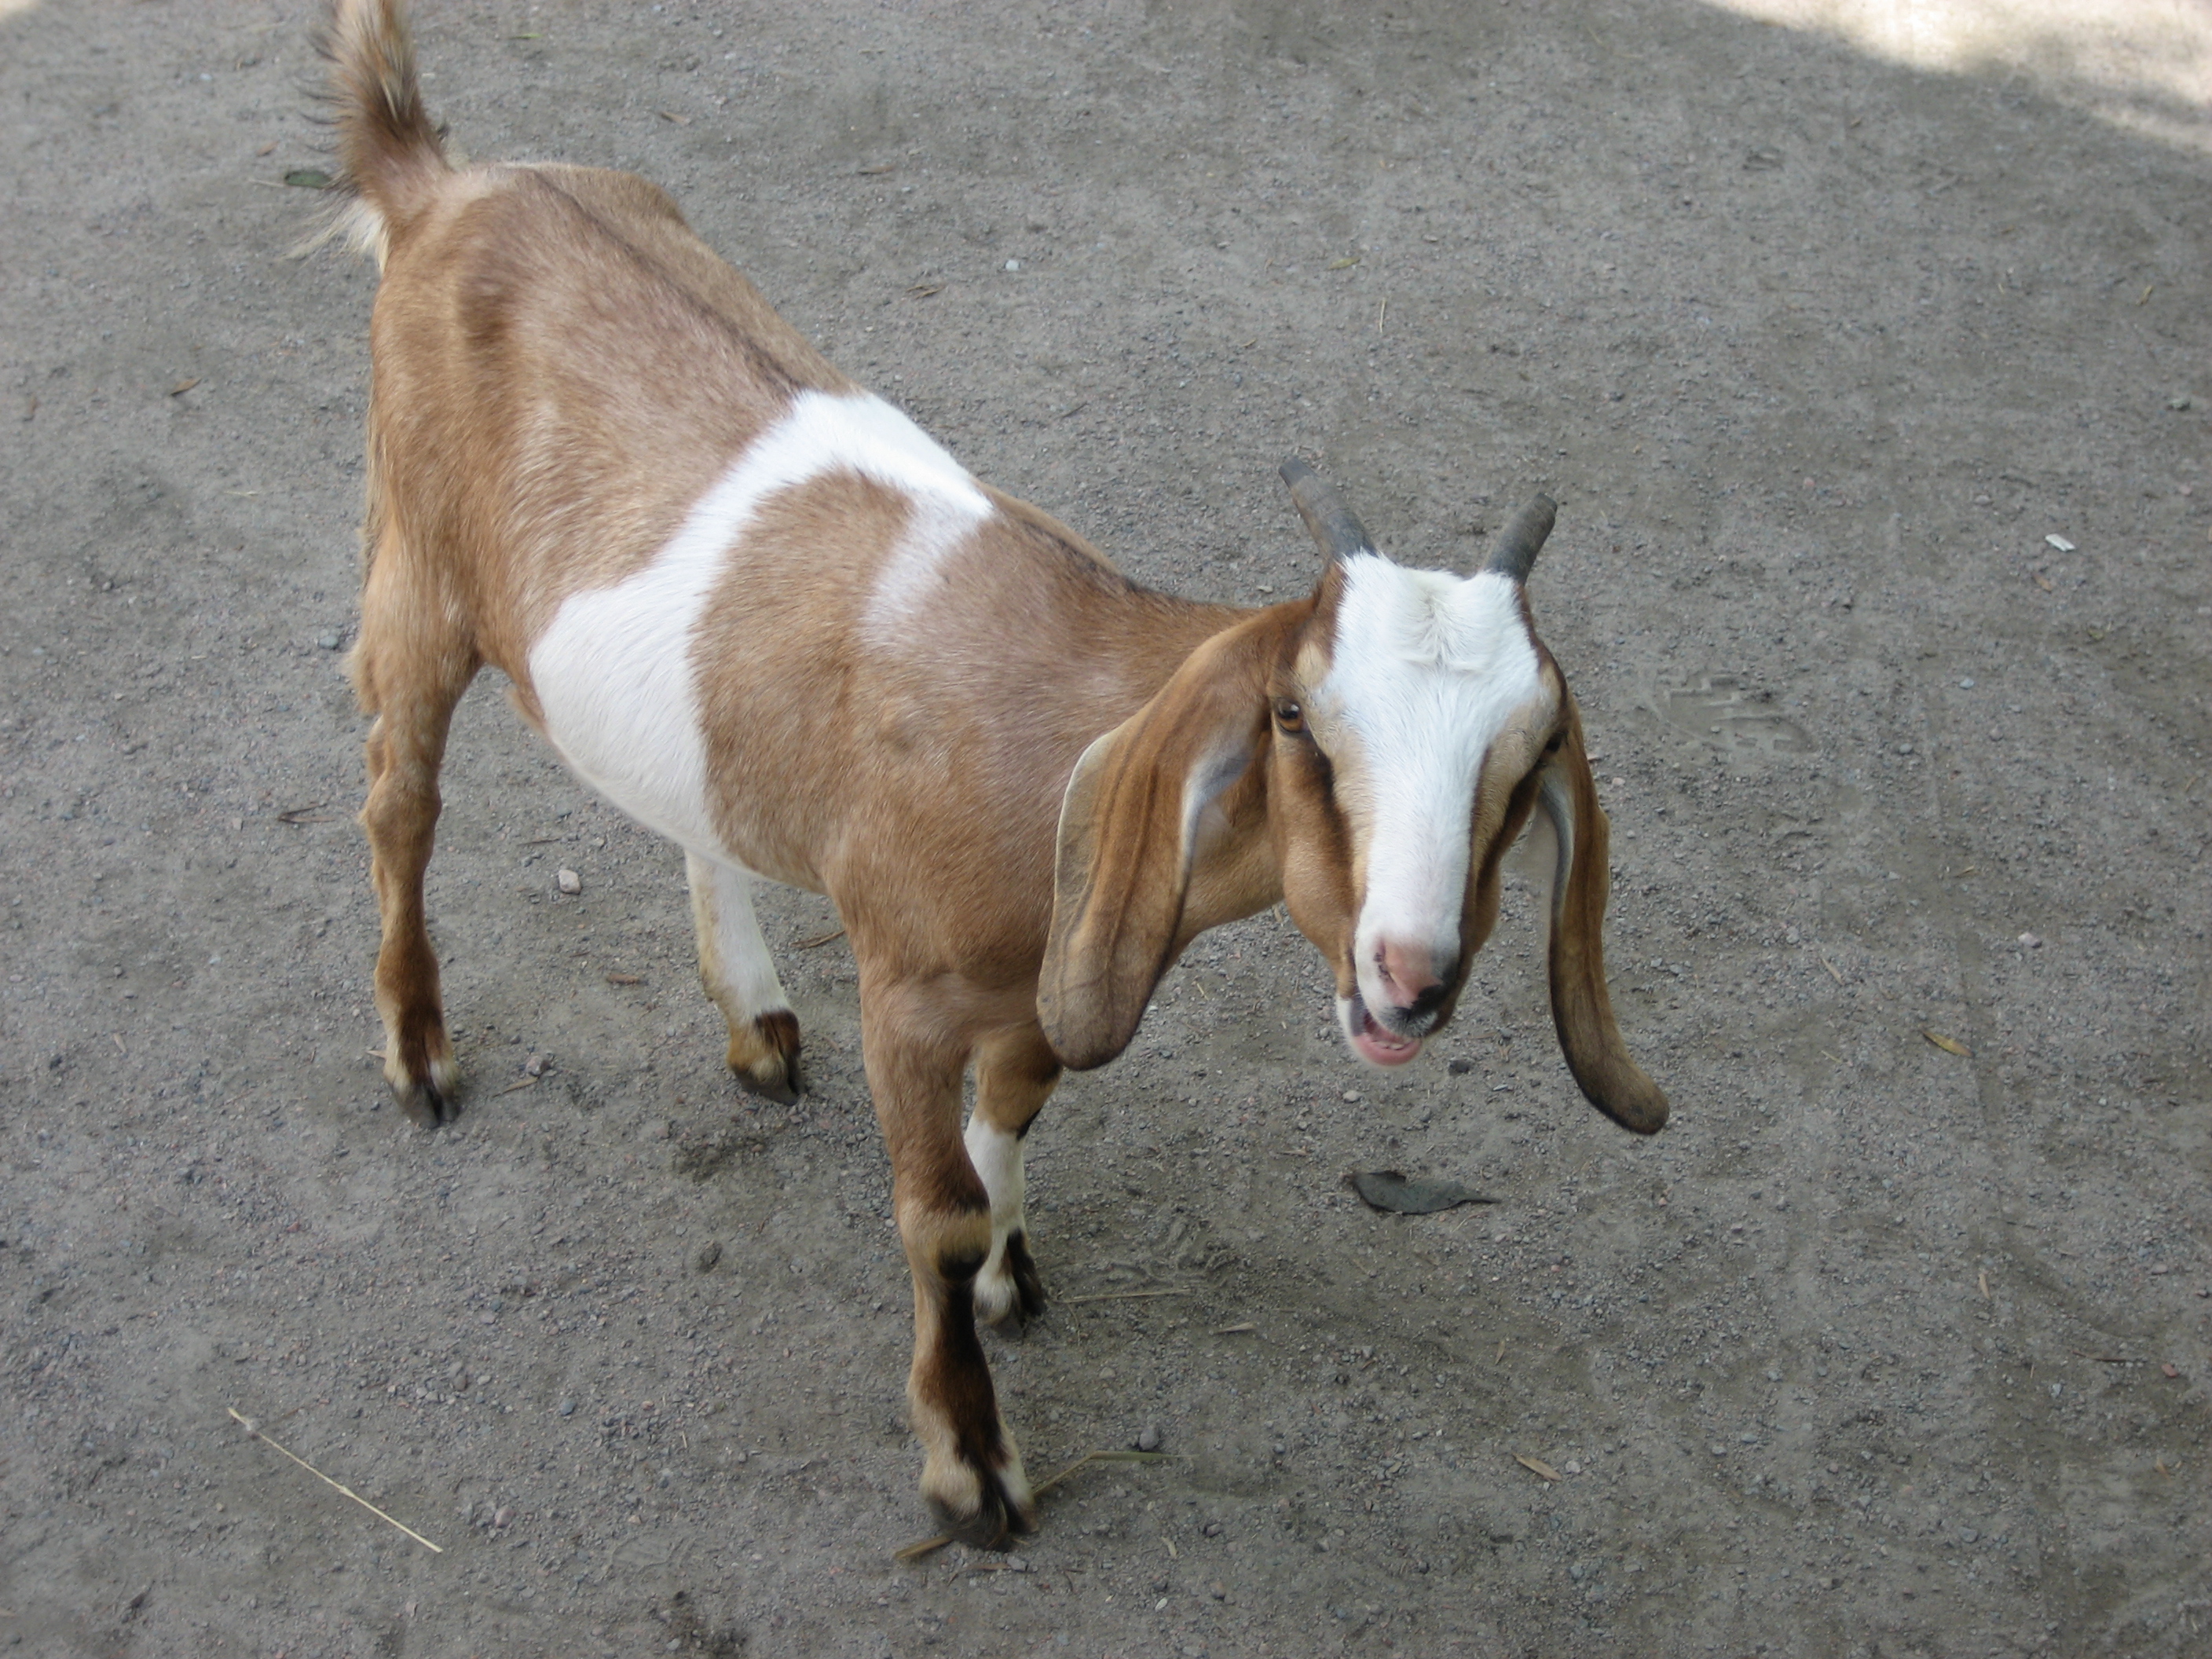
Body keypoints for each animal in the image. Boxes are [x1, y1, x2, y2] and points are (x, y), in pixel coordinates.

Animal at [316, 0, 1668, 1546]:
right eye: (1297, 722)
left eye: (1525, 762)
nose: (1412, 975)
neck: (1049, 751)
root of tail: (438, 184)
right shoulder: (904, 994)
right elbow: (937, 1210)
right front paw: (971, 1463)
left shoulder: (1043, 985)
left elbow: (1007, 1123)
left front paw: (1017, 1273)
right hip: (416, 573)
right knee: (398, 800)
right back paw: (419, 1051)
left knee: (692, 811)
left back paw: (756, 1020)